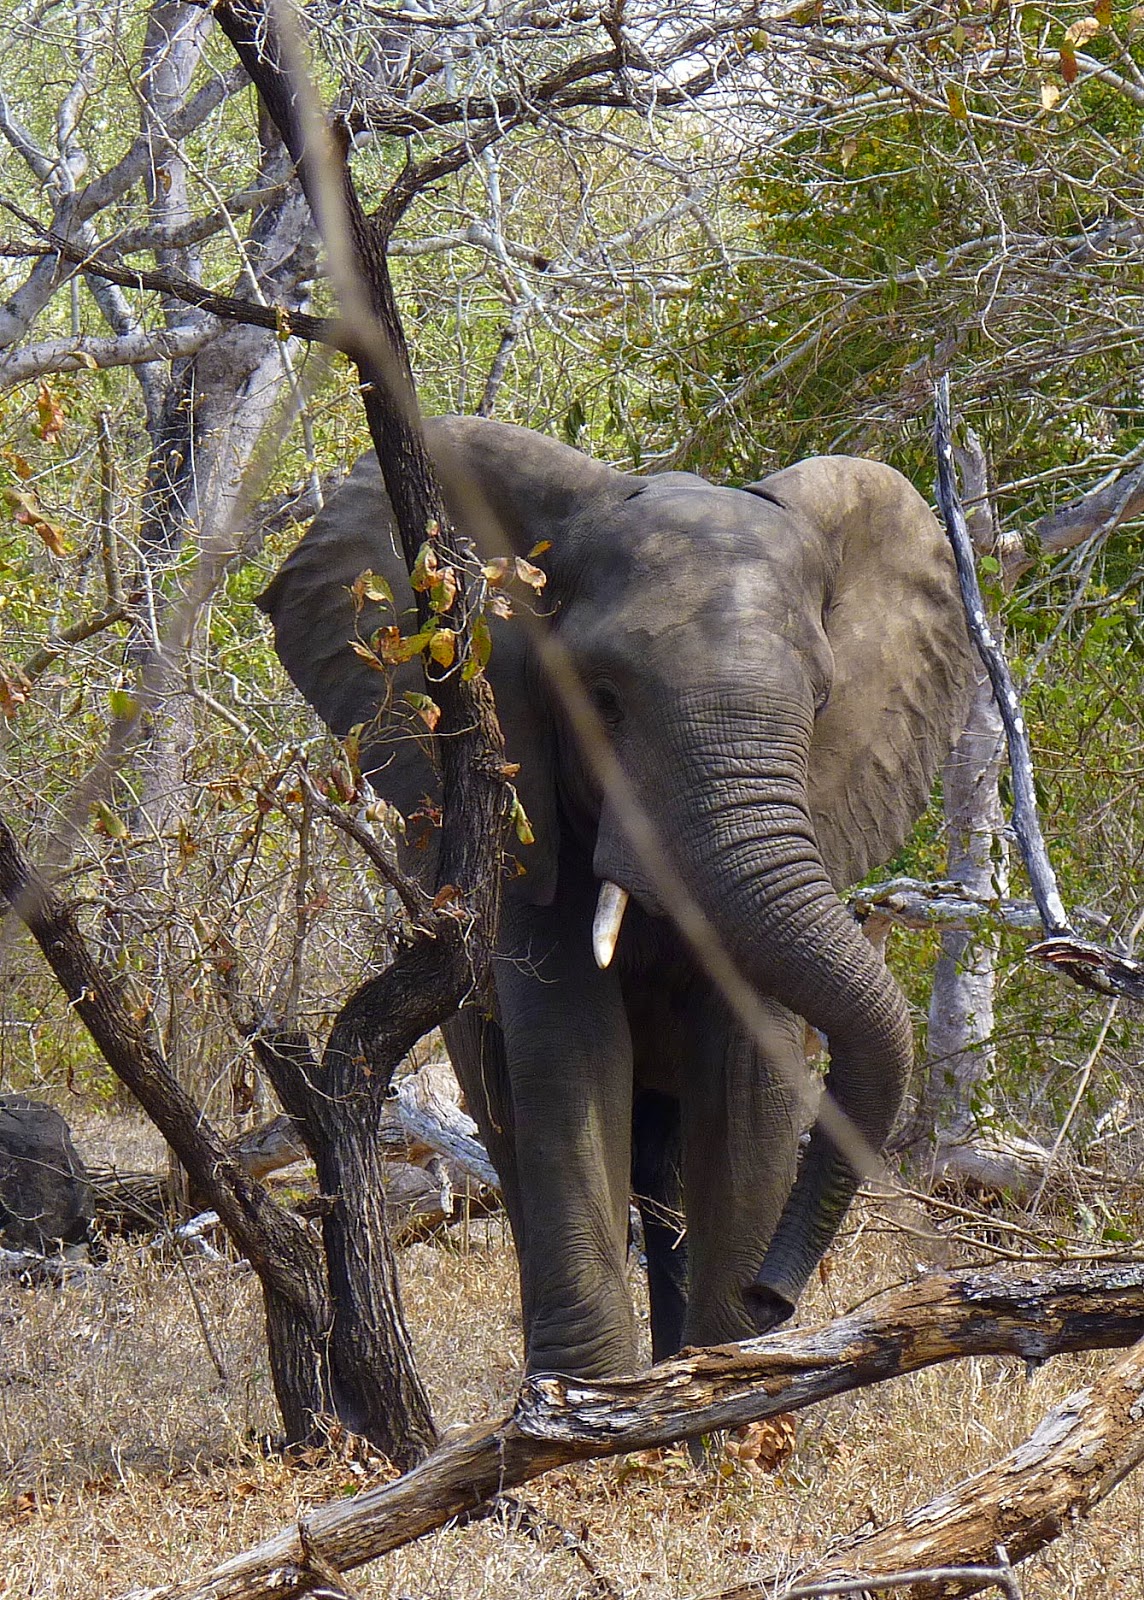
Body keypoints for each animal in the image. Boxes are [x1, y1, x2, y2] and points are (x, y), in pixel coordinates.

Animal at [257, 416, 974, 1379]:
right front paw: (589, 1406)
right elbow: (570, 1051)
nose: (776, 1296)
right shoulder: (522, 831)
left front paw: (731, 1391)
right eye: (600, 699)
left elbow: (748, 1067)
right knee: (516, 1137)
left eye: (822, 700)